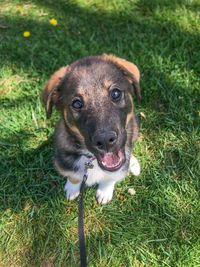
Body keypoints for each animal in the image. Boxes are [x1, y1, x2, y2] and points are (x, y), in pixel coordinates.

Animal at [42, 54, 141, 205]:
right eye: (77, 103)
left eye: (115, 93)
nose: (105, 140)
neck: (91, 159)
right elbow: (73, 176)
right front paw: (72, 188)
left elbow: (111, 177)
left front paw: (105, 191)